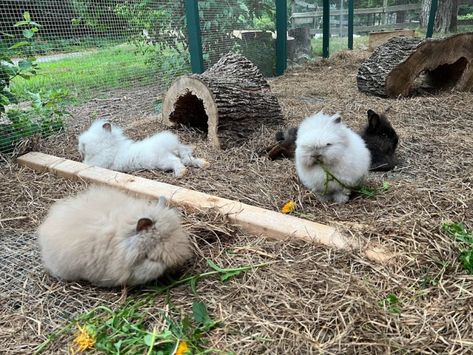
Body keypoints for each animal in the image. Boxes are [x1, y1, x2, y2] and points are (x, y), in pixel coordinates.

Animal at [78, 120, 207, 178]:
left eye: (87, 141)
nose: (81, 146)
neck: (110, 146)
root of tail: (170, 147)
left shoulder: (100, 162)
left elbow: (87, 163)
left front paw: (83, 161)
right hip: (180, 152)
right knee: (187, 158)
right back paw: (204, 163)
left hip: (163, 161)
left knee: (178, 161)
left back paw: (180, 173)